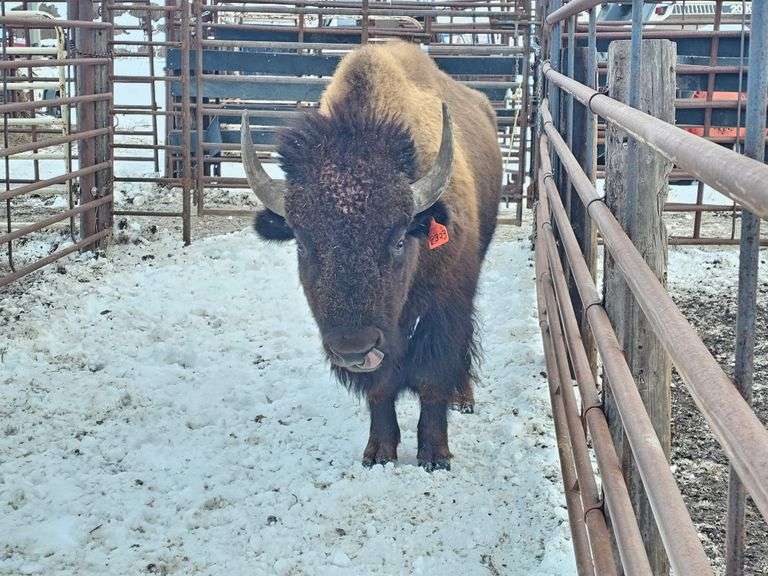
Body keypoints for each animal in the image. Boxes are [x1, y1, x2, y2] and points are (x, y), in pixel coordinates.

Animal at [241, 41, 502, 471]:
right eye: (303, 243)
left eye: (398, 240)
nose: (354, 348)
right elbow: (381, 389)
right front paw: (379, 454)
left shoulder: (445, 307)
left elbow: (433, 378)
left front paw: (435, 457)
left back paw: (463, 400)